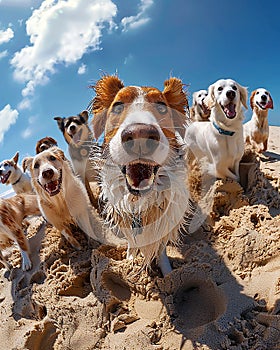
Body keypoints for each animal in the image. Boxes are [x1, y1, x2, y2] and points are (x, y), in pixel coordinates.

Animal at [89, 74, 190, 276]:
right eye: (118, 106)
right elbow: (132, 243)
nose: (140, 136)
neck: (139, 202)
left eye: (162, 107)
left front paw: (168, 274)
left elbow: (161, 248)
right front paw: (130, 261)